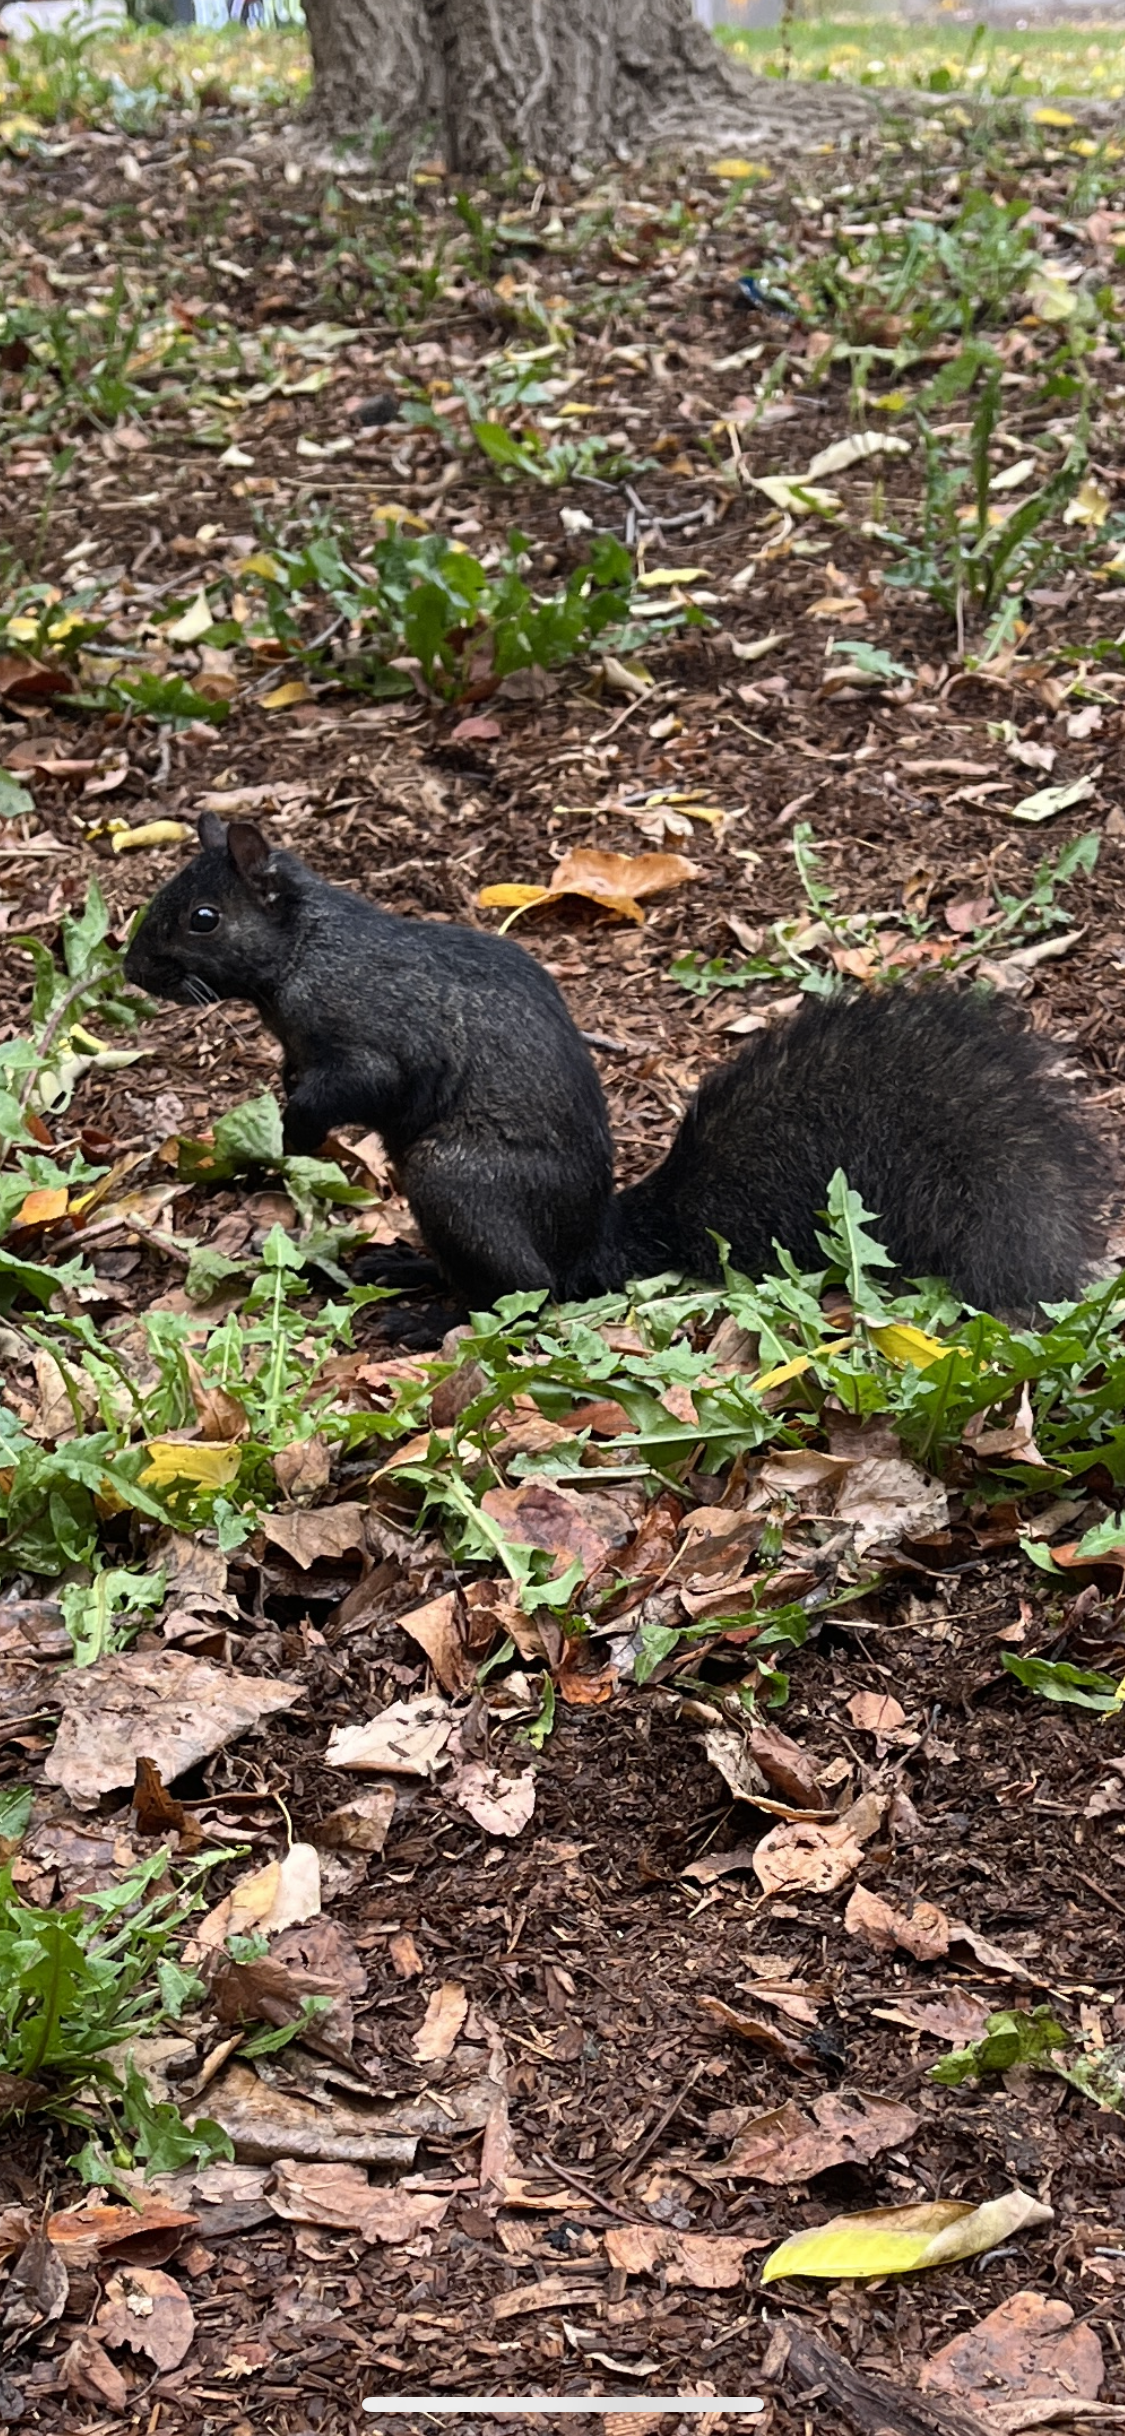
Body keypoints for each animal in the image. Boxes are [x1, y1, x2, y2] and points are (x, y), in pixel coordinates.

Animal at [122, 828, 1105, 1334]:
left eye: (203, 918)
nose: (132, 970)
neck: (301, 955)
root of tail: (592, 1244)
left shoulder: (375, 1032)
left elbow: (359, 1082)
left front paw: (294, 1132)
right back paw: (408, 1267)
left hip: (457, 1178)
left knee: (530, 1296)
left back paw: (435, 1318)